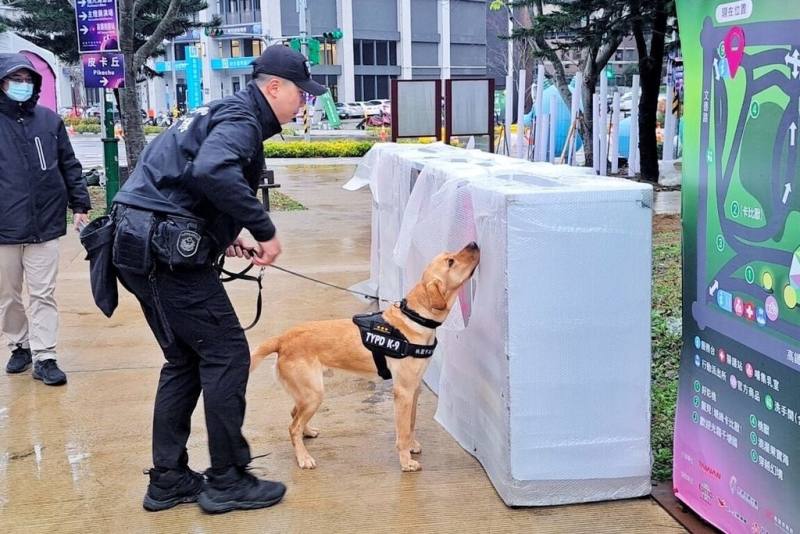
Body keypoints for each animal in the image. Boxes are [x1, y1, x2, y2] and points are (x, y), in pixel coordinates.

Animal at [250, 243, 478, 474]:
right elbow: (403, 431)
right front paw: (406, 462)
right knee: (292, 426)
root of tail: (282, 339)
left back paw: (307, 433)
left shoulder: (414, 389)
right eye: (450, 262)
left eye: (449, 256)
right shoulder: (403, 392)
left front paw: (412, 446)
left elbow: (411, 423)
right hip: (313, 394)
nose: (474, 244)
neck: (415, 318)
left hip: (307, 394)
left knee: (294, 413)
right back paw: (303, 457)